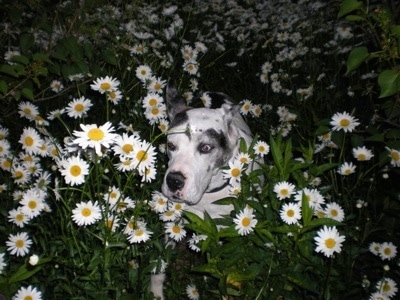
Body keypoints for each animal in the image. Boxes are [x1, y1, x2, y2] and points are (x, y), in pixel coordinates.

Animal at [151, 83, 256, 298]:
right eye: (171, 145)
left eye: (206, 147)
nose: (173, 181)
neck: (208, 197)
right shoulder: (172, 223)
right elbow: (160, 262)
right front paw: (155, 292)